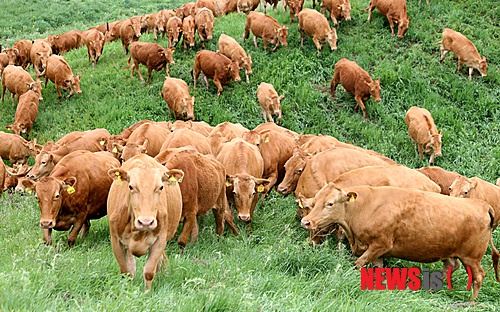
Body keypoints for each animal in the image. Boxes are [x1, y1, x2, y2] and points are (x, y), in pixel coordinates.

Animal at [107, 154, 184, 290]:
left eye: (161, 187)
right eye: (131, 186)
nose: (146, 222)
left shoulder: (160, 241)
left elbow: (149, 272)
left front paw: (147, 292)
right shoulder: (115, 240)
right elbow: (126, 271)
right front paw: (127, 290)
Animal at [300, 184, 500, 302]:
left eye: (330, 203)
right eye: (315, 201)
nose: (306, 222)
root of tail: (482, 205)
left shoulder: (380, 244)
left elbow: (358, 264)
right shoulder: (377, 252)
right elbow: (378, 269)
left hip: (472, 257)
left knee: (479, 276)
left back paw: (471, 302)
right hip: (449, 252)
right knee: (450, 266)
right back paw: (429, 289)